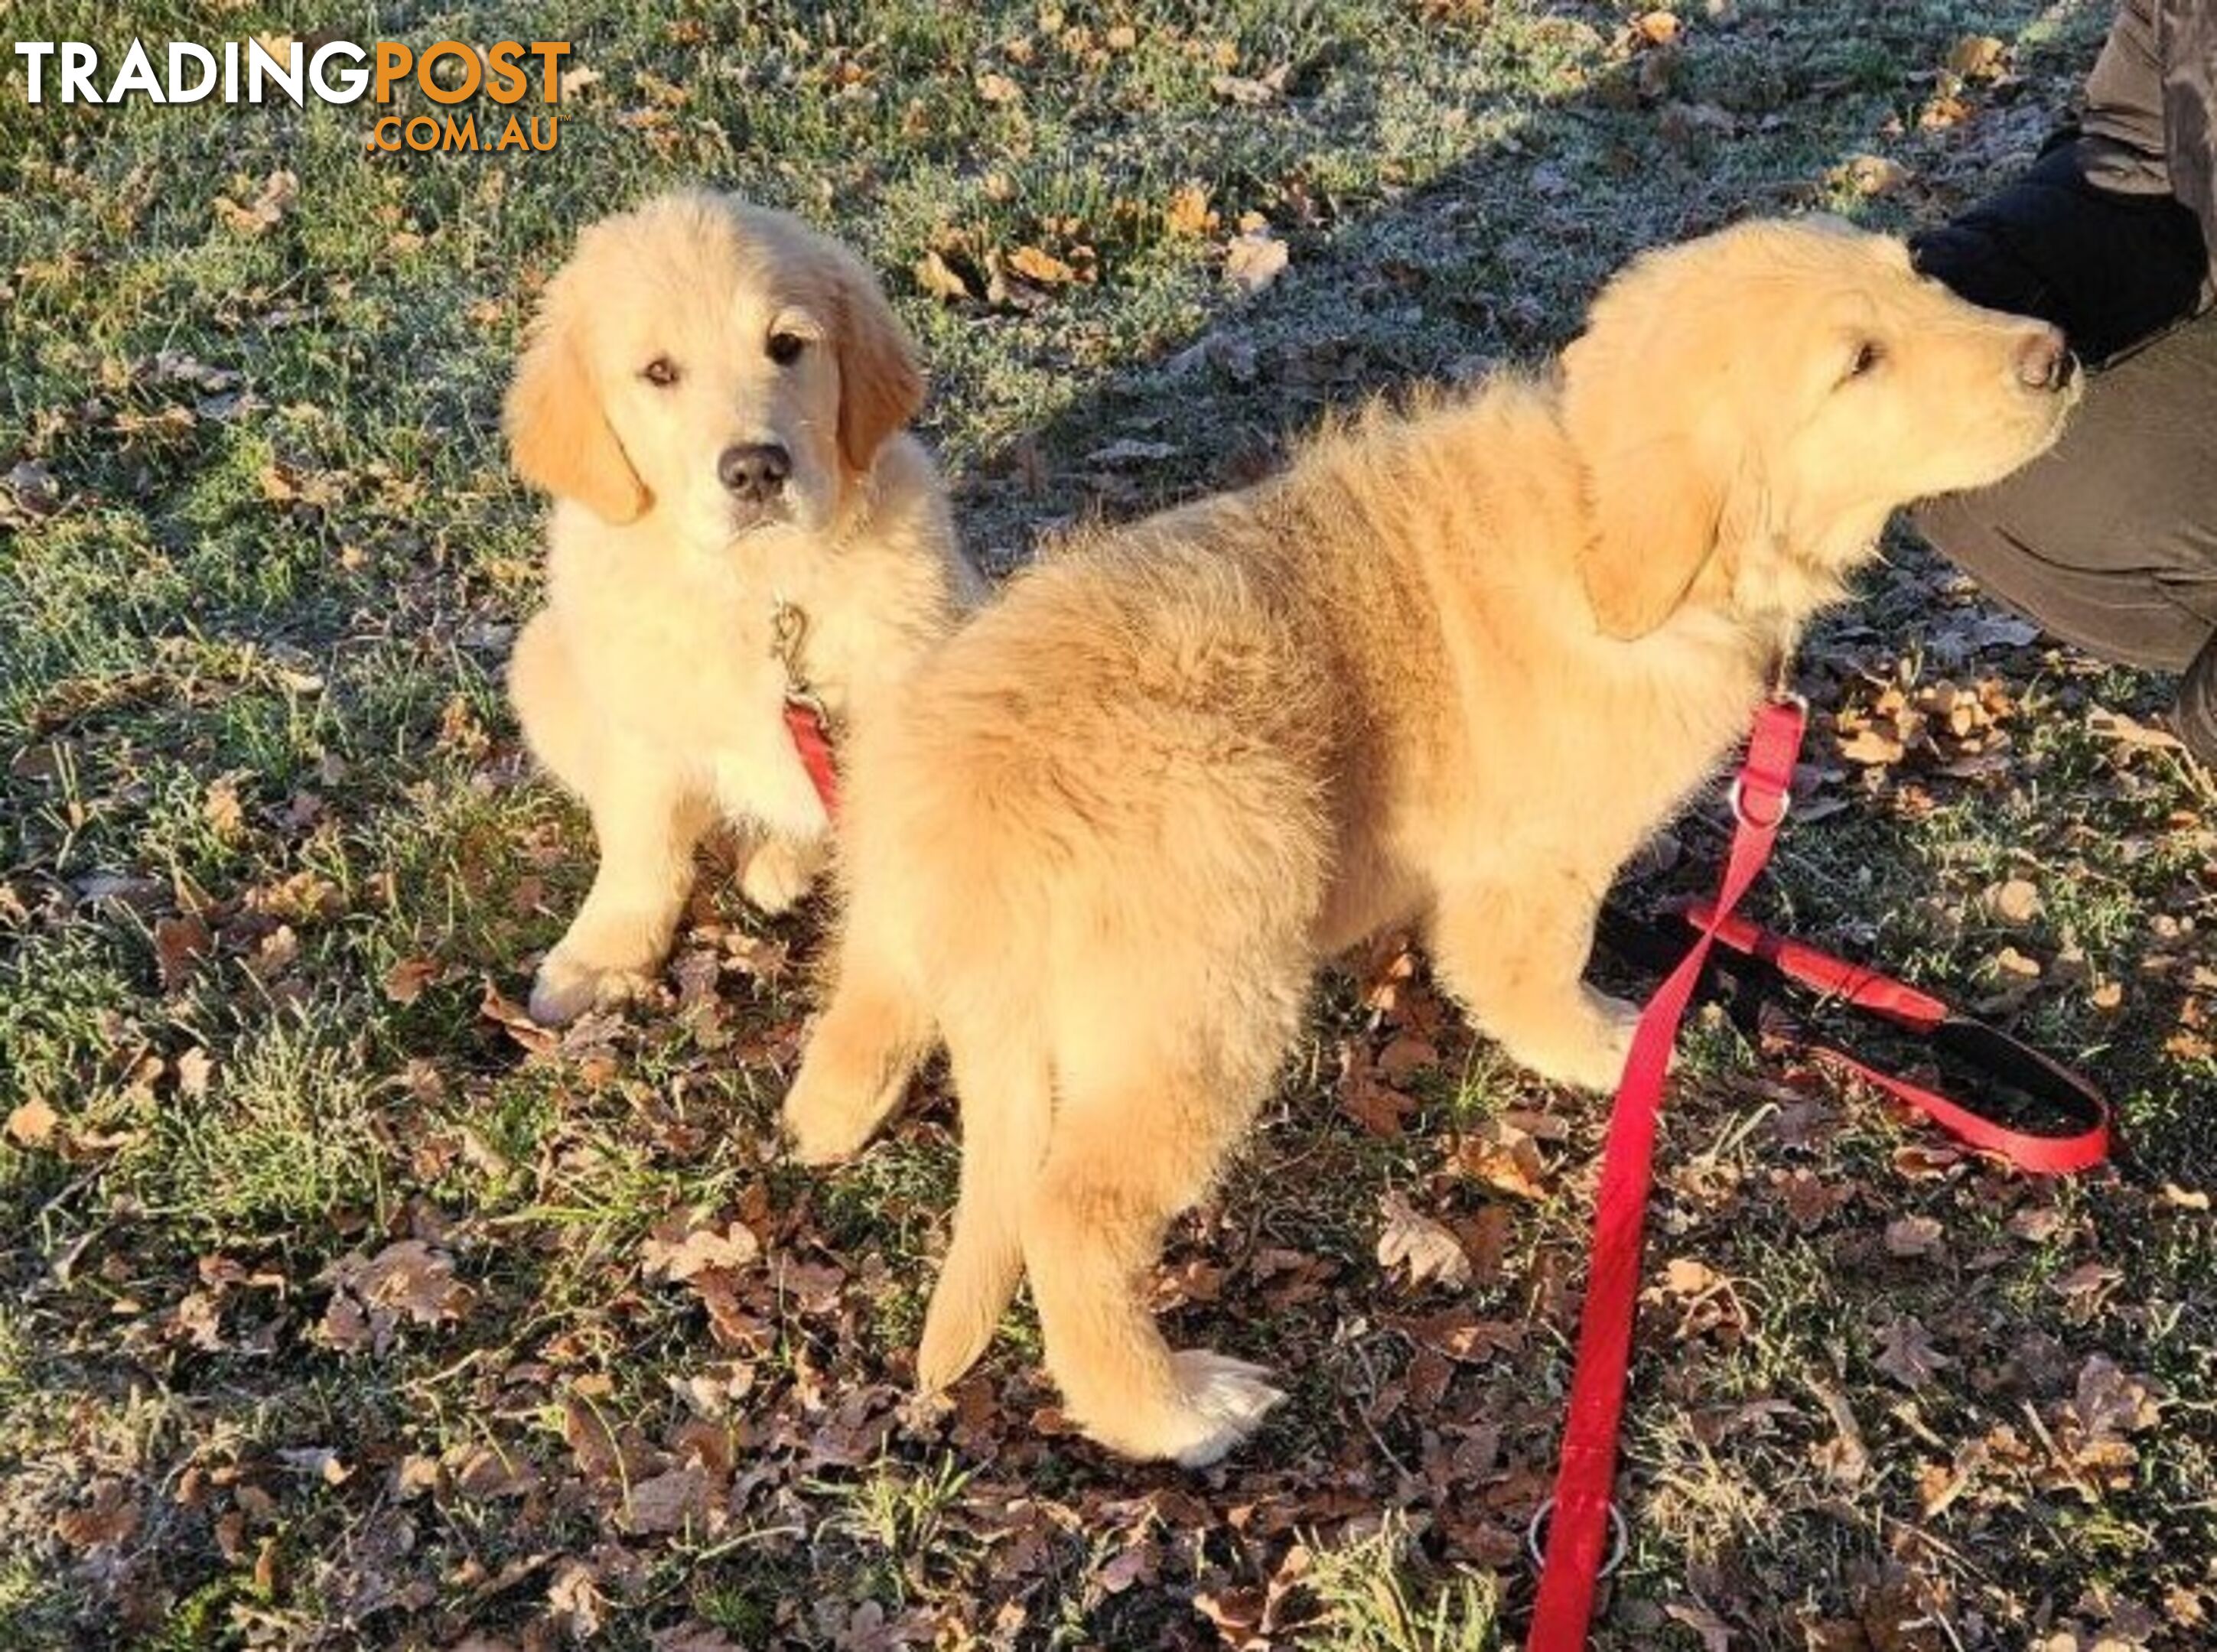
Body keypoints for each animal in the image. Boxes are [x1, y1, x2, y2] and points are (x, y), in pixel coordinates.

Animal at [514, 189, 984, 1019]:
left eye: (786, 345)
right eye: (659, 372)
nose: (757, 469)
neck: (762, 591)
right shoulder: (640, 730)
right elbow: (642, 851)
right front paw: (603, 955)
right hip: (542, 664)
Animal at [780, 223, 2075, 1472]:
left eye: (1917, 277)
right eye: (1857, 362)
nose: (2055, 354)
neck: (1598, 525)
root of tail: (970, 835)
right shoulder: (1543, 858)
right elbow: (1528, 970)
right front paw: (1606, 1044)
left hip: (904, 906)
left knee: (864, 1007)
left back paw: (831, 1109)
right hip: (1202, 997)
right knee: (1072, 1215)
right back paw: (1172, 1411)